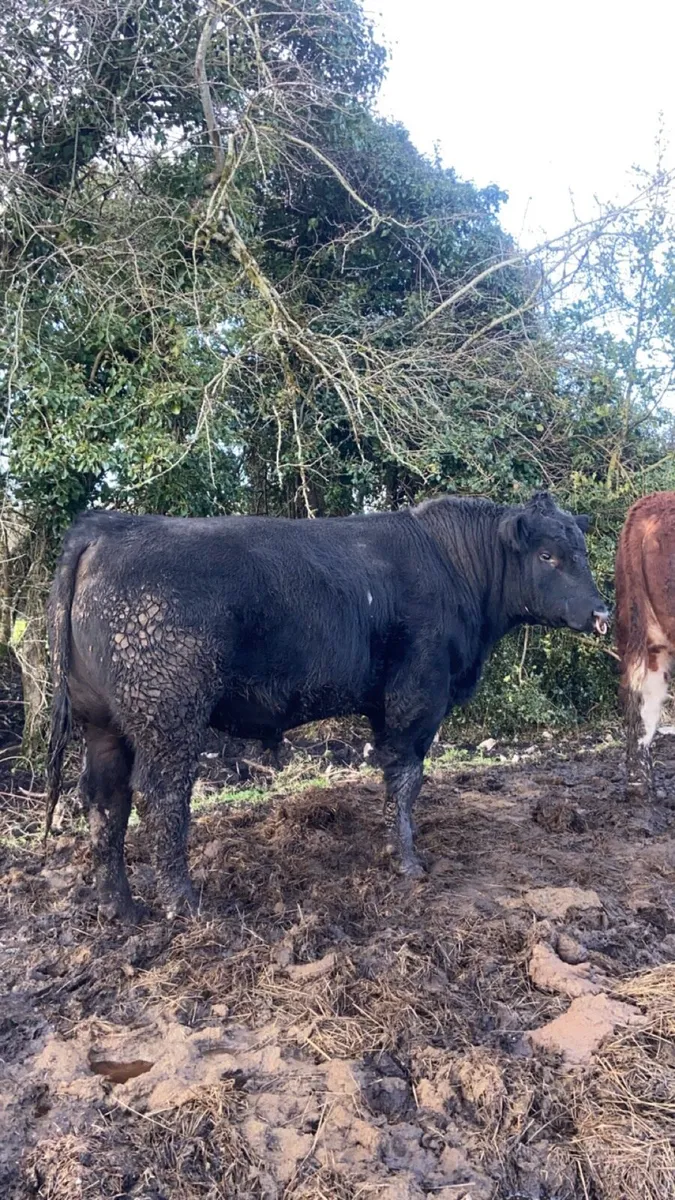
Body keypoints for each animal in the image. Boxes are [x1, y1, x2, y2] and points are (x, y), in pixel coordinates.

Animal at [45, 491, 608, 922]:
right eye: (548, 556)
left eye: (579, 550)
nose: (602, 612)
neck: (451, 566)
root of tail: (106, 527)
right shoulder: (417, 696)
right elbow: (407, 778)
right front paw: (408, 863)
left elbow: (393, 778)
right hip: (170, 717)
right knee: (161, 797)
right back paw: (183, 902)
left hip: (103, 722)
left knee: (105, 799)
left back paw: (119, 907)